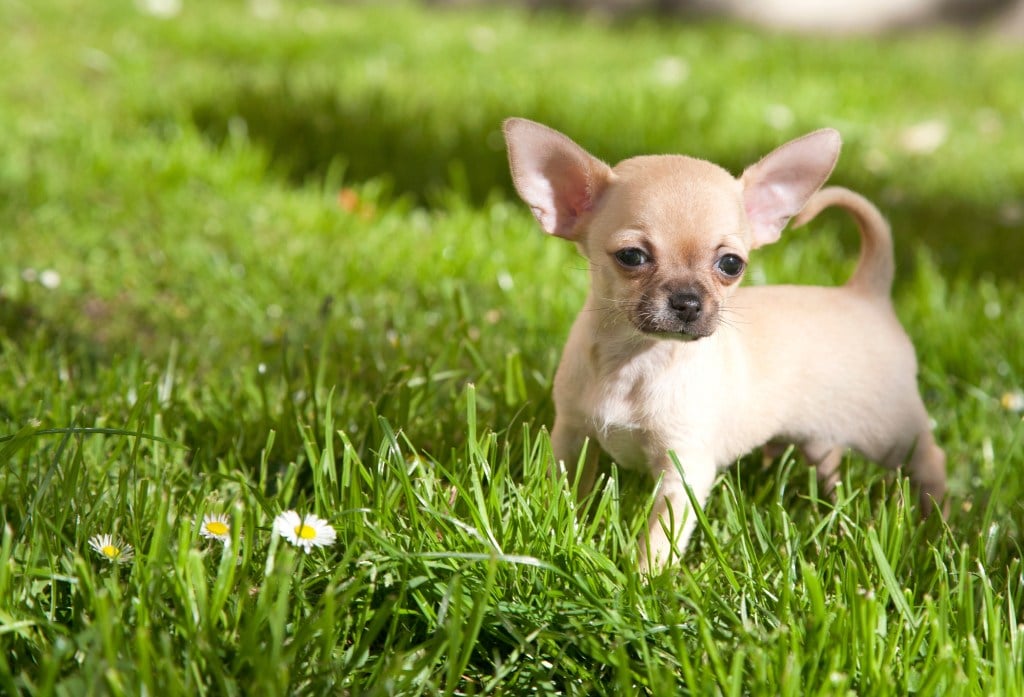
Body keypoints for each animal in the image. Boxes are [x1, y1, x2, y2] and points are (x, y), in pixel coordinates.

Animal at [501, 116, 942, 569]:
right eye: (632, 257)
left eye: (731, 264)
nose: (687, 302)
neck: (635, 359)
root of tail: (867, 292)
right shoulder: (572, 436)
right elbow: (561, 488)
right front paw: (554, 526)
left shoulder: (684, 472)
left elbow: (659, 538)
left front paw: (644, 580)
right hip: (822, 432)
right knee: (829, 457)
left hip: (889, 433)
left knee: (930, 460)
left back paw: (934, 520)